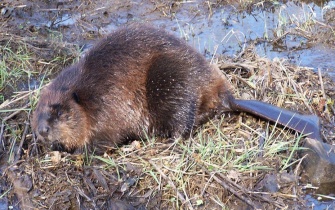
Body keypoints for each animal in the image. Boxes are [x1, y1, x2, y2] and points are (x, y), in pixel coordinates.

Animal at [32, 24, 322, 153]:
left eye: (59, 112)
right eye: (37, 113)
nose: (42, 131)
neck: (86, 94)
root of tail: (228, 97)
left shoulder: (105, 107)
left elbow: (102, 140)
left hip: (169, 80)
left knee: (184, 122)